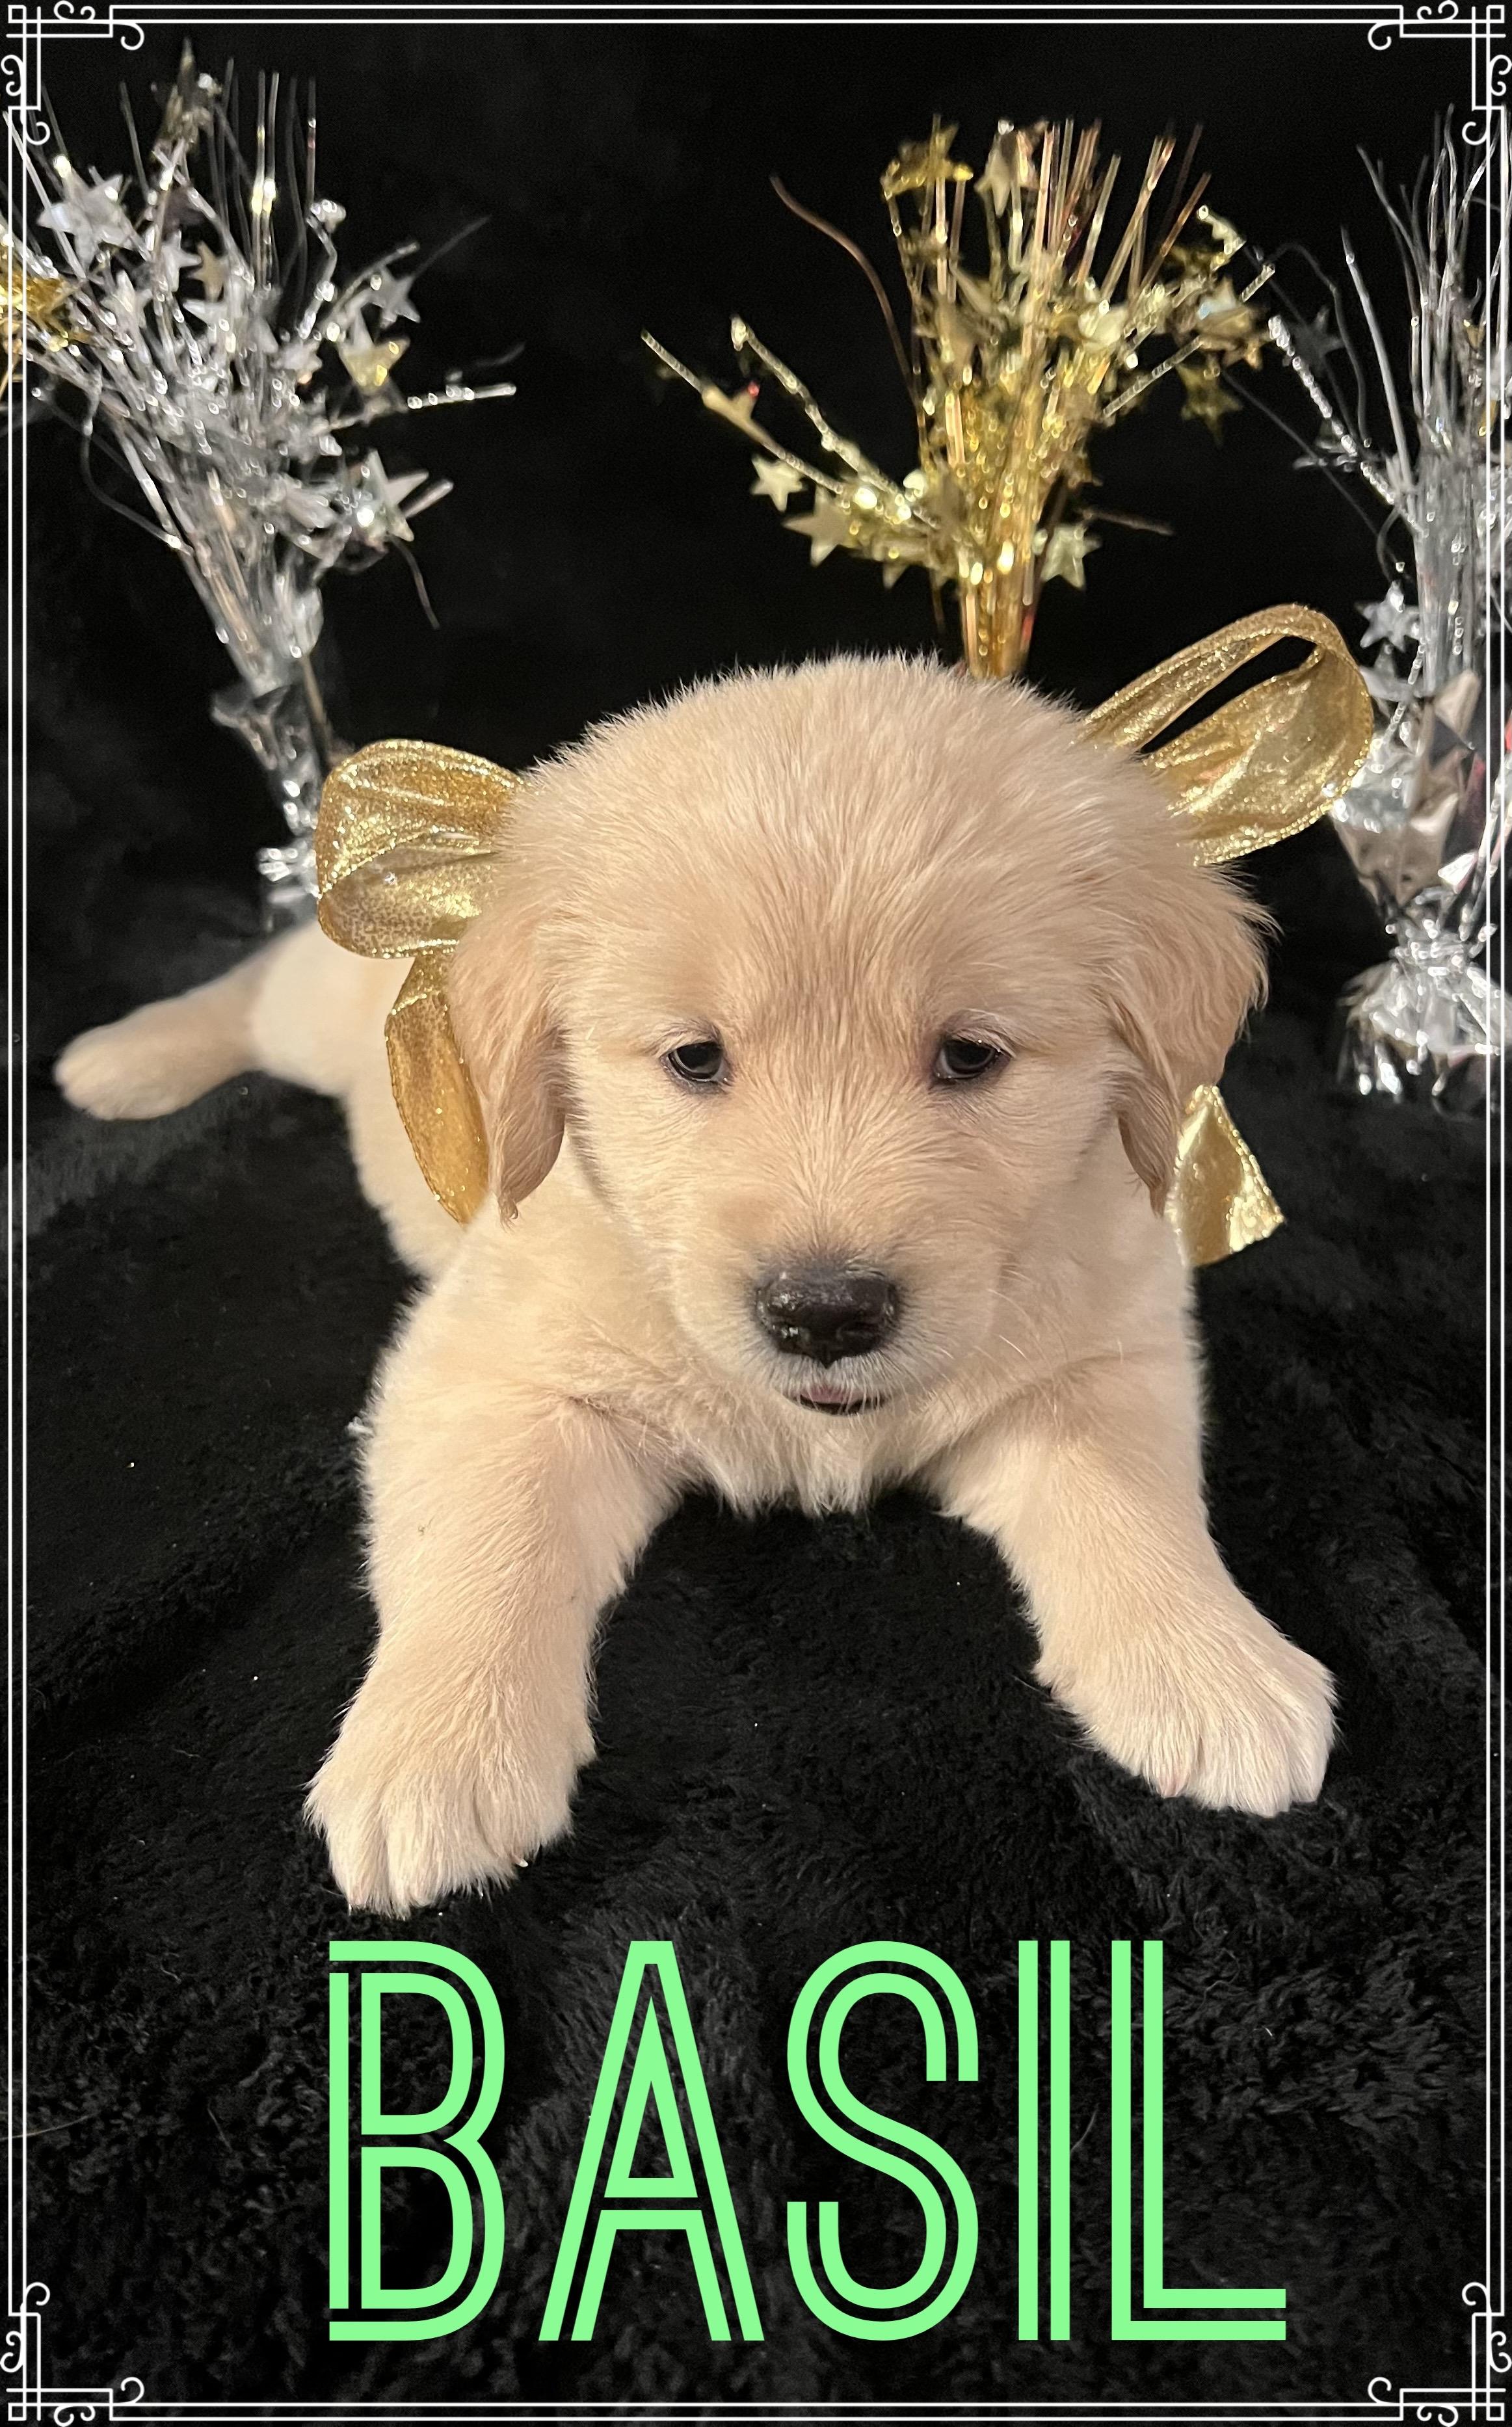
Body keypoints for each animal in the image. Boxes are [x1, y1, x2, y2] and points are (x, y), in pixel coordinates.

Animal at [56, 652, 1335, 1913]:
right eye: (695, 1058)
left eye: (971, 1056)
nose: (826, 1313)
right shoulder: (492, 1368)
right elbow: (485, 1530)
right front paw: (435, 1754)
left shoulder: (1106, 1345)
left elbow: (1129, 1492)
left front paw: (1210, 1666)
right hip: (317, 1014)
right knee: (259, 978)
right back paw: (124, 1058)